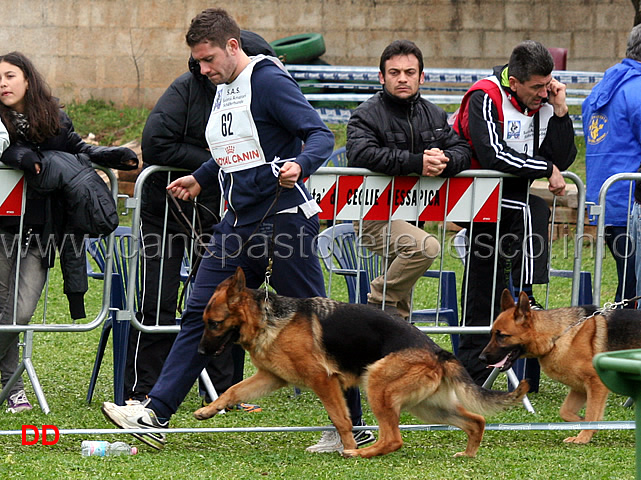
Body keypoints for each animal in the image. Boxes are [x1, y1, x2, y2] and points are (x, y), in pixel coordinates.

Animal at [194, 266, 524, 458]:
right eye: (205, 322)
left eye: (214, 323)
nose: (199, 352)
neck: (267, 318)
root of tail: (438, 352)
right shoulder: (270, 378)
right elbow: (232, 390)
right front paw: (209, 410)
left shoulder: (323, 380)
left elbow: (341, 419)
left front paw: (350, 445)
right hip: (427, 407)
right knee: (476, 421)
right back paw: (468, 455)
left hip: (377, 385)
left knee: (394, 439)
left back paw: (359, 455)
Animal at [478, 288, 640, 442]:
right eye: (491, 334)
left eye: (502, 336)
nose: (481, 358)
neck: (557, 336)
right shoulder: (579, 388)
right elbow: (565, 412)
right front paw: (583, 422)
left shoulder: (596, 384)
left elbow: (591, 414)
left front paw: (583, 437)